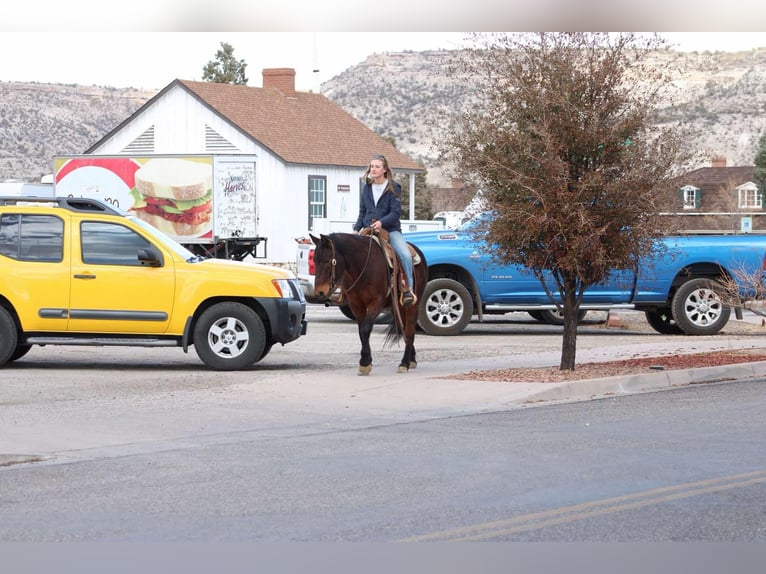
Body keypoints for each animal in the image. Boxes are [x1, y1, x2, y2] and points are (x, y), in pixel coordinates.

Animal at [314, 232, 432, 376]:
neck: (362, 267)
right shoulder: (356, 305)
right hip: (396, 307)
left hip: (412, 305)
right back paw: (411, 360)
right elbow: (361, 331)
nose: (319, 292)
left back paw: (404, 363)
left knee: (409, 330)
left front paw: (365, 363)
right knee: (404, 328)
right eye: (315, 260)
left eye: (327, 260)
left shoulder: (376, 303)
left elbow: (365, 329)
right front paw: (366, 361)